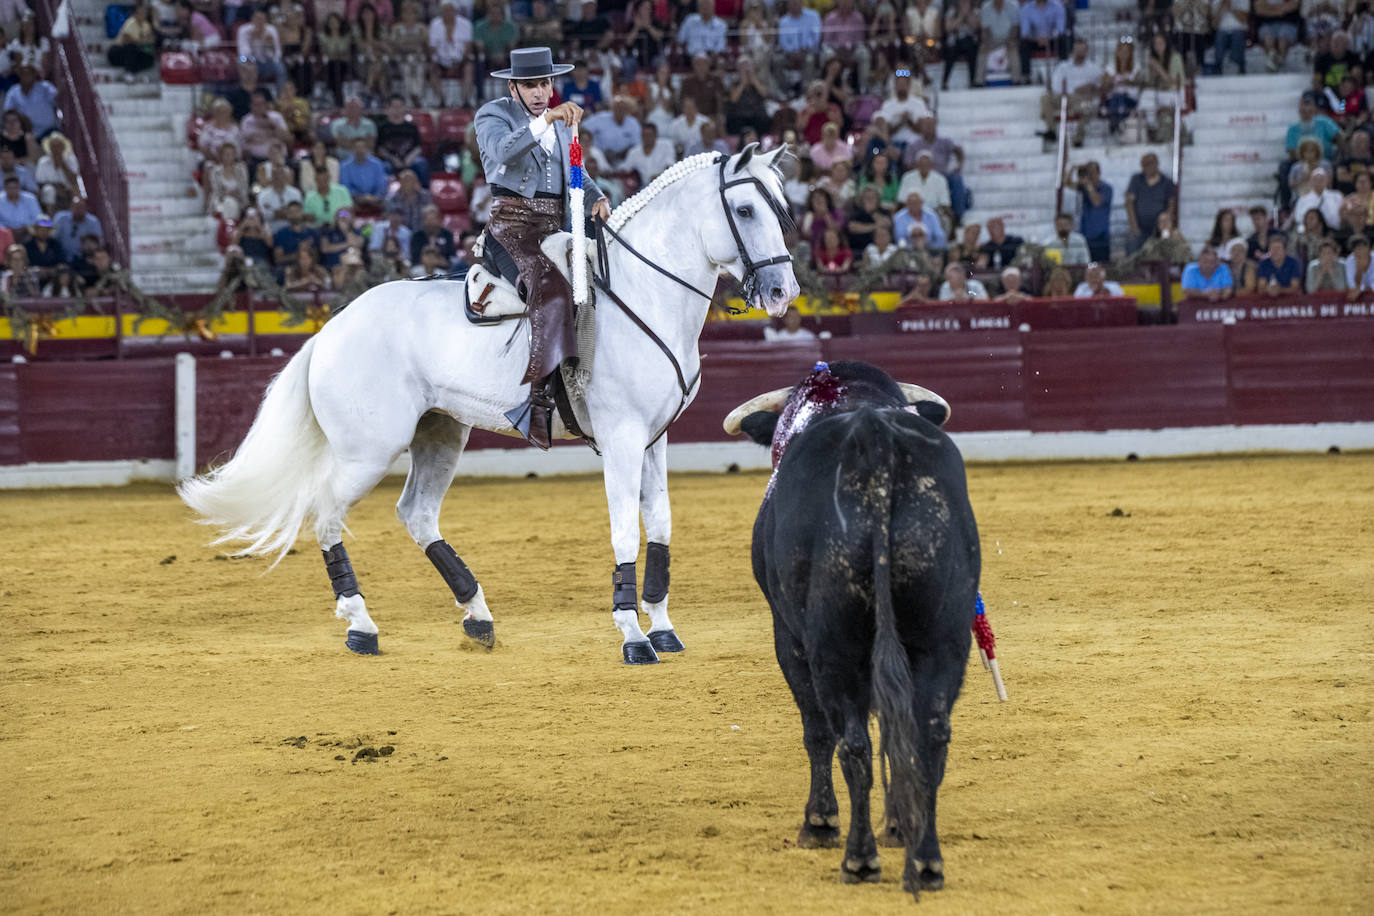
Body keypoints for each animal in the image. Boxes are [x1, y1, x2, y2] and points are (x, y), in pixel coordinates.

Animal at [177, 146, 802, 670]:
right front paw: (633, 635)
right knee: (327, 513)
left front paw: (665, 628)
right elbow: (626, 527)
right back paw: (361, 625)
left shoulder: (655, 438)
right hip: (367, 452)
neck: (643, 295)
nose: (783, 292)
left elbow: (662, 524)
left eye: (781, 207)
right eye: (745, 208)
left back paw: (477, 617)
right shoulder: (621, 438)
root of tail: (330, 328)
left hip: (440, 434)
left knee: (417, 513)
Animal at [736, 359, 983, 900]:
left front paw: (820, 821)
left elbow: (818, 731)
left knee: (850, 740)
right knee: (929, 733)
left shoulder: (789, 639)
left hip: (833, 644)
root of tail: (875, 439)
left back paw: (858, 856)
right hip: (945, 639)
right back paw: (925, 859)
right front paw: (899, 823)